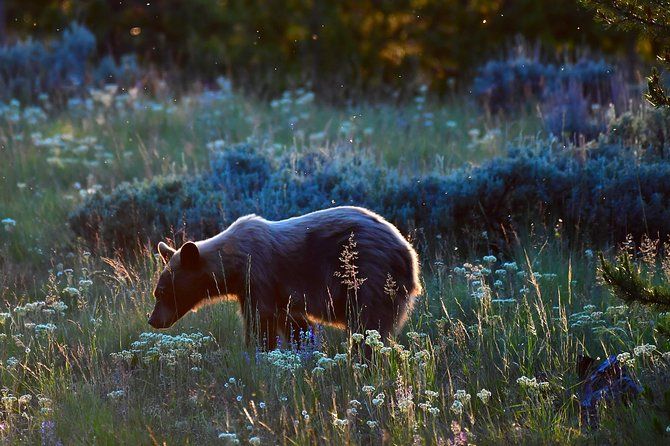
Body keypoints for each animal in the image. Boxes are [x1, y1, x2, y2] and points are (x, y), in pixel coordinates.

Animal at [150, 206, 422, 348]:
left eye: (161, 292)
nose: (153, 320)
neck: (235, 264)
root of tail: (408, 253)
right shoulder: (273, 292)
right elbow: (294, 323)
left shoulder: (260, 277)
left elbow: (261, 321)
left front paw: (258, 352)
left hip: (368, 274)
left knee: (368, 324)